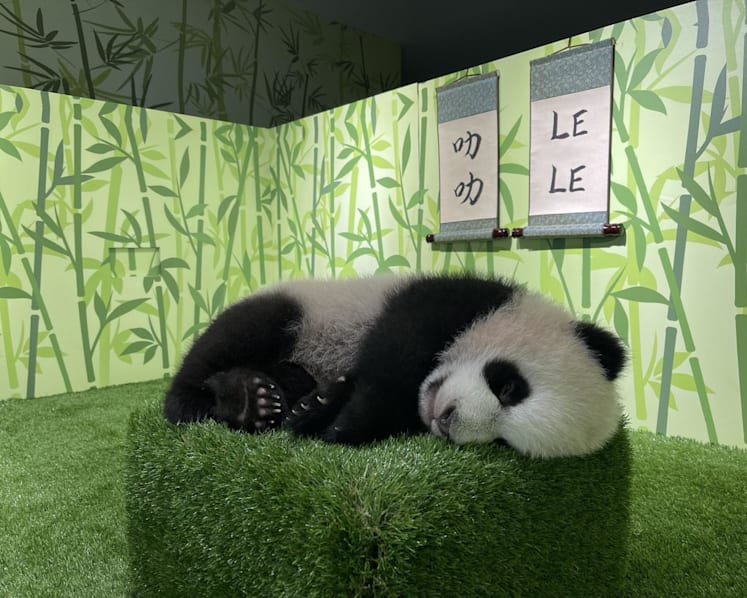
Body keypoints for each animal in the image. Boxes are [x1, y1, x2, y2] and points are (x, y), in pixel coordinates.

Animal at [163, 273, 627, 458]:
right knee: (236, 335)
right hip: (301, 306)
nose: (447, 419)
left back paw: (257, 400)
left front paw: (319, 409)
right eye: (510, 387)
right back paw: (199, 400)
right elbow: (395, 350)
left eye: (503, 442)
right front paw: (342, 423)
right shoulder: (452, 298)